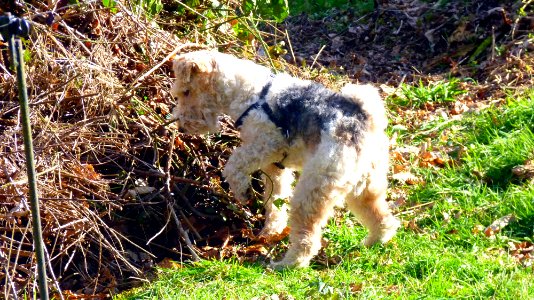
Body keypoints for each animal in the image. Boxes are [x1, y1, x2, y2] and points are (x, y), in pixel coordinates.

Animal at [170, 49, 400, 270]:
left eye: (186, 92)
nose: (181, 126)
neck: (247, 92)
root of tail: (363, 120)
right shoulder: (274, 166)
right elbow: (274, 200)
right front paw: (270, 232)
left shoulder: (264, 145)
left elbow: (233, 166)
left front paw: (243, 192)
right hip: (365, 187)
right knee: (383, 220)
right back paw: (372, 244)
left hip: (313, 190)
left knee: (308, 238)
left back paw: (287, 265)